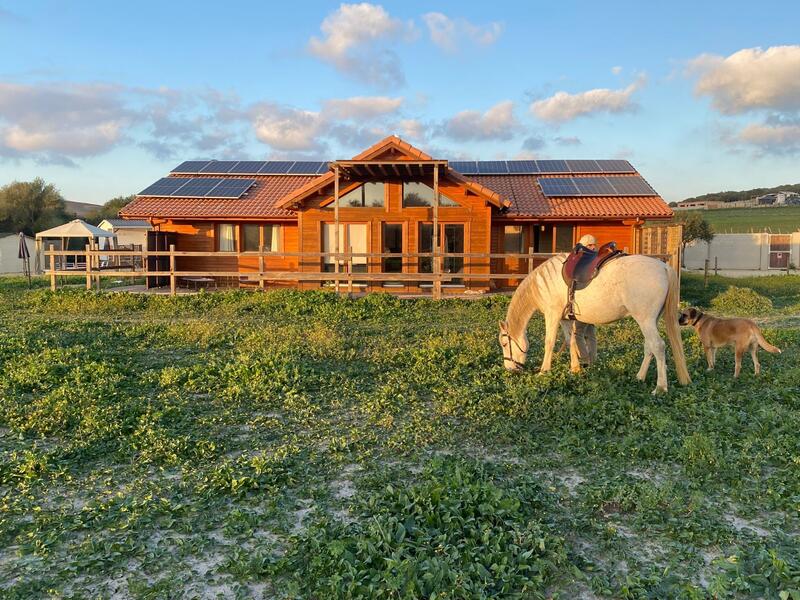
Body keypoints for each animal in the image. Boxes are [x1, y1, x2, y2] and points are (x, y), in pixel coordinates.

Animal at [496, 253, 692, 394]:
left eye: (505, 343)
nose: (509, 369)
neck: (544, 283)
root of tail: (663, 266)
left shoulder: (552, 316)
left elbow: (549, 343)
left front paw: (544, 371)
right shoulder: (565, 319)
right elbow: (570, 341)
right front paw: (575, 369)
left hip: (645, 320)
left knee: (658, 346)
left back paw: (660, 388)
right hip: (649, 321)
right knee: (649, 347)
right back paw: (640, 377)